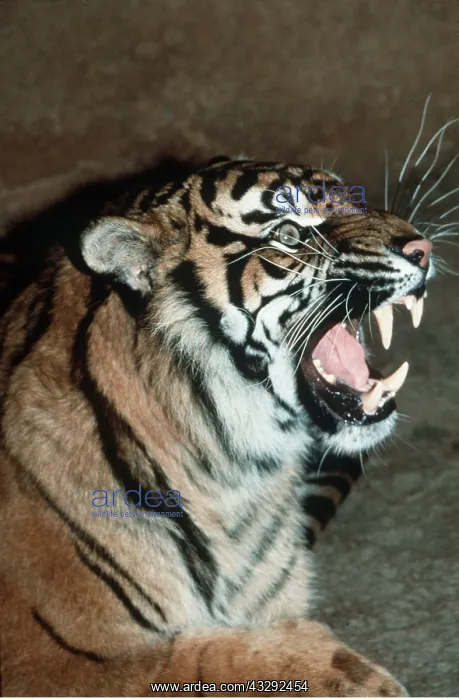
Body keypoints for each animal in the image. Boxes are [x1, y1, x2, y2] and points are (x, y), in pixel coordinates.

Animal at [0, 155, 434, 696]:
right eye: (290, 234)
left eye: (355, 200)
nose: (423, 248)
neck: (236, 479)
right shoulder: (53, 660)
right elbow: (202, 659)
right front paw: (349, 675)